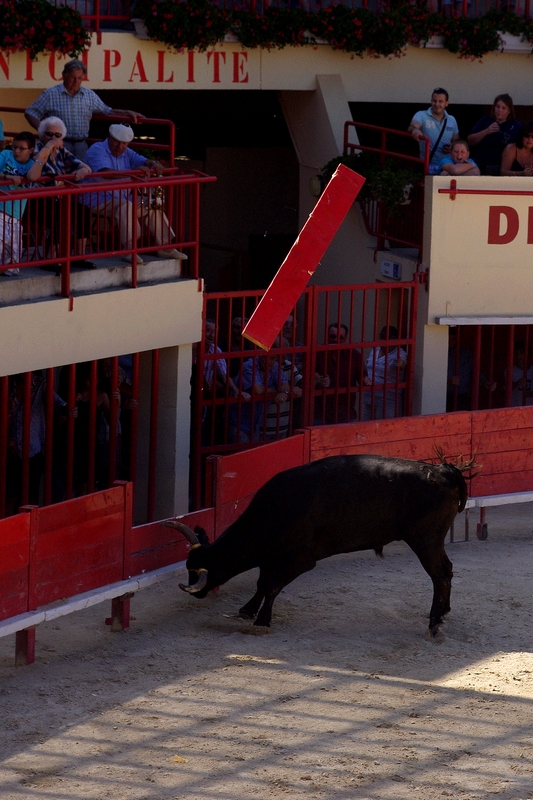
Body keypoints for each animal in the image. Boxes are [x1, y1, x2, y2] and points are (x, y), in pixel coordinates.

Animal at [163, 456, 466, 636]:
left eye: (200, 569)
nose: (196, 592)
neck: (276, 510)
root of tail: (443, 470)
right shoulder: (271, 558)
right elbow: (262, 583)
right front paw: (247, 610)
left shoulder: (300, 561)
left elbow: (271, 586)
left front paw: (262, 619)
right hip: (432, 541)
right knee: (448, 570)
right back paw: (444, 613)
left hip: (425, 540)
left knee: (439, 574)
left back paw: (434, 623)